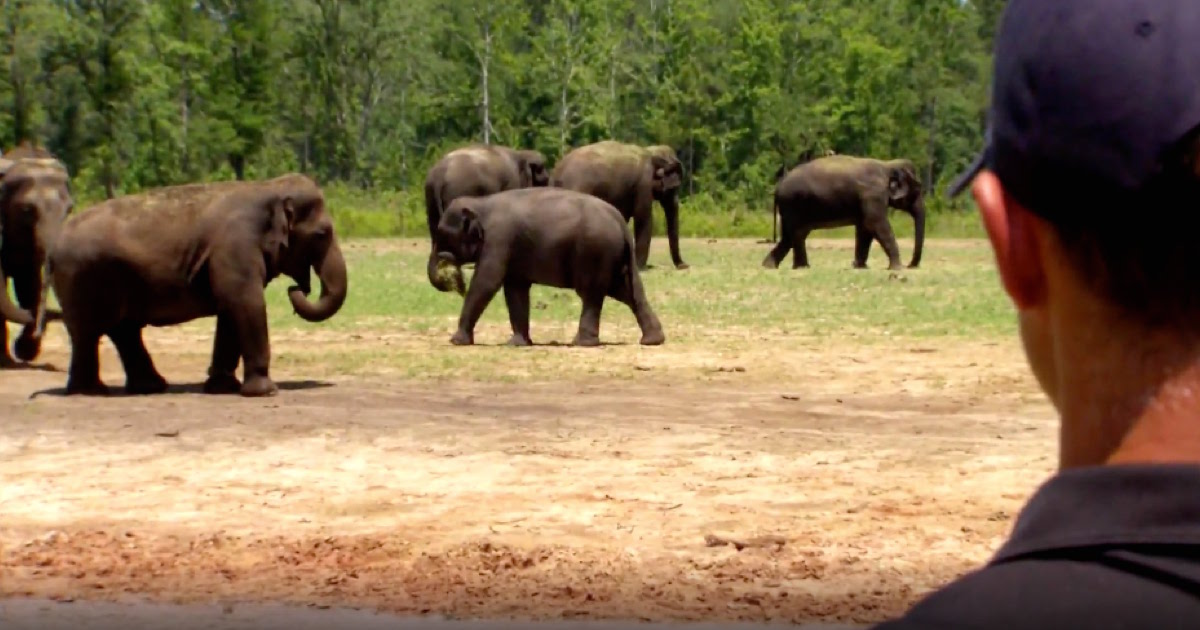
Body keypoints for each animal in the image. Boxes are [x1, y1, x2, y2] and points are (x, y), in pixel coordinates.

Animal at [48, 173, 348, 397]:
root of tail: (55, 242)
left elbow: (229, 310)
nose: (296, 289)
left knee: (123, 330)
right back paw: (91, 392)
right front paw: (265, 392)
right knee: (90, 332)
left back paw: (148, 387)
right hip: (82, 278)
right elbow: (245, 303)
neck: (269, 186)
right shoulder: (236, 246)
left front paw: (222, 388)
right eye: (322, 234)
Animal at [424, 144, 549, 294]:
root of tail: (438, 177)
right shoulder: (512, 182)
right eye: (544, 180)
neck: (521, 154)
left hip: (430, 200)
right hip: (456, 192)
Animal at [433, 187, 666, 348]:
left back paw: (581, 343)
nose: (456, 280)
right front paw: (518, 344)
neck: (481, 203)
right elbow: (515, 289)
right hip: (613, 257)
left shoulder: (499, 239)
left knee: (591, 294)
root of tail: (620, 222)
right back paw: (652, 340)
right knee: (628, 293)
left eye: (442, 234)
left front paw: (456, 341)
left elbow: (487, 282)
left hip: (595, 252)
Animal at [550, 141, 688, 271]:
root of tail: (557, 174)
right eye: (674, 188)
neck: (651, 152)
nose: (684, 266)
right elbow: (643, 219)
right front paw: (641, 267)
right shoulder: (643, 185)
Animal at [762, 155, 925, 271]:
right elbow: (875, 224)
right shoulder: (873, 196)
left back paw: (774, 266)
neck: (887, 165)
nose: (910, 265)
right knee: (795, 234)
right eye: (918, 190)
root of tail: (778, 187)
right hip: (792, 205)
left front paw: (860, 266)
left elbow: (865, 229)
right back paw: (798, 267)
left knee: (792, 236)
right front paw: (897, 268)